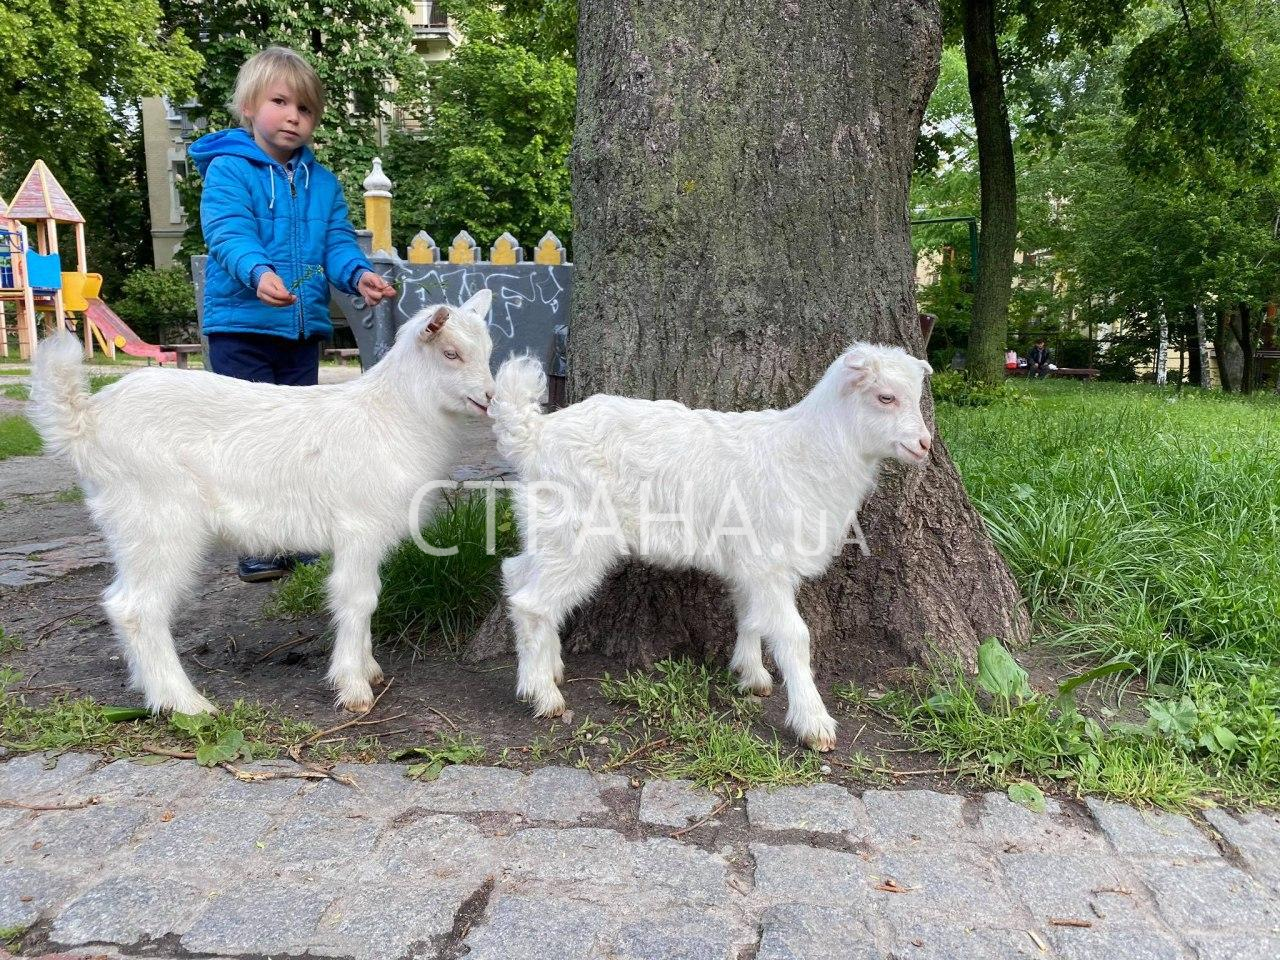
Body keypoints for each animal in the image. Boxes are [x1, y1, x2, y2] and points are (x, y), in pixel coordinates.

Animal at [31, 291, 494, 716]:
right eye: (451, 353)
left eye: (488, 350)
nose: (490, 397)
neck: (392, 415)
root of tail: (85, 421)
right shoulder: (358, 526)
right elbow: (357, 598)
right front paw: (353, 687)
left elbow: (371, 594)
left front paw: (370, 669)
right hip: (158, 518)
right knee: (136, 608)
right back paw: (186, 703)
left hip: (132, 525)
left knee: (120, 601)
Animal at [486, 345, 931, 752]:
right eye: (886, 397)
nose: (924, 444)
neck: (808, 454)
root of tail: (533, 435)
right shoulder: (769, 561)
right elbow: (793, 637)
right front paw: (814, 723)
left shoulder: (749, 563)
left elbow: (750, 617)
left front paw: (751, 676)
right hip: (577, 532)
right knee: (533, 604)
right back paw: (543, 695)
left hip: (547, 529)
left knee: (516, 573)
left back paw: (546, 669)